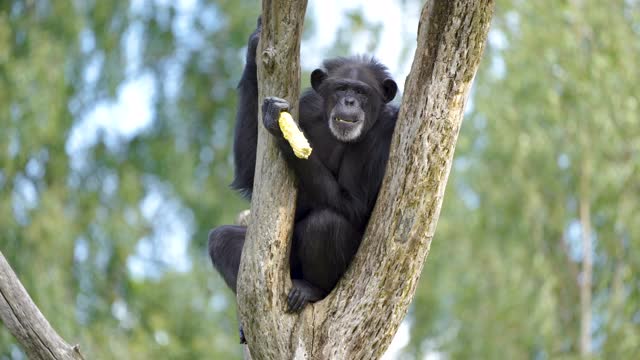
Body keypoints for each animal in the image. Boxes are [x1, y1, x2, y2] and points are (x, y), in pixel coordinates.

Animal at [209, 18, 400, 314]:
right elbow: (250, 176)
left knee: (326, 224)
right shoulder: (308, 106)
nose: (349, 101)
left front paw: (282, 128)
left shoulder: (383, 132)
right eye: (341, 88)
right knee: (222, 239)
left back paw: (311, 289)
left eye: (361, 91)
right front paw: (255, 46)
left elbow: (353, 203)